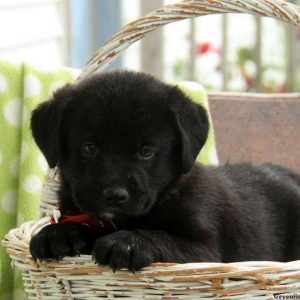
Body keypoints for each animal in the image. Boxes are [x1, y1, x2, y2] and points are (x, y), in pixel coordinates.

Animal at [29, 71, 300, 272]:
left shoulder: (204, 251)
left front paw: (127, 243)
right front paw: (55, 233)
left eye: (146, 152)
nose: (115, 196)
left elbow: (161, 237)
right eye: (89, 148)